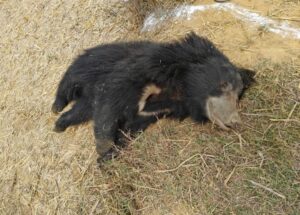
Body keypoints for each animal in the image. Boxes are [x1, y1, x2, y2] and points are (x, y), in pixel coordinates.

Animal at [52, 31, 254, 162]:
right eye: (223, 85)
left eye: (237, 95)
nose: (234, 121)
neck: (182, 89)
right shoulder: (142, 70)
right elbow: (111, 101)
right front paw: (104, 148)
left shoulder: (163, 109)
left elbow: (133, 124)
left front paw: (108, 156)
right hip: (92, 63)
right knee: (69, 81)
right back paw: (56, 107)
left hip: (87, 98)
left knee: (79, 111)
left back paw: (59, 125)